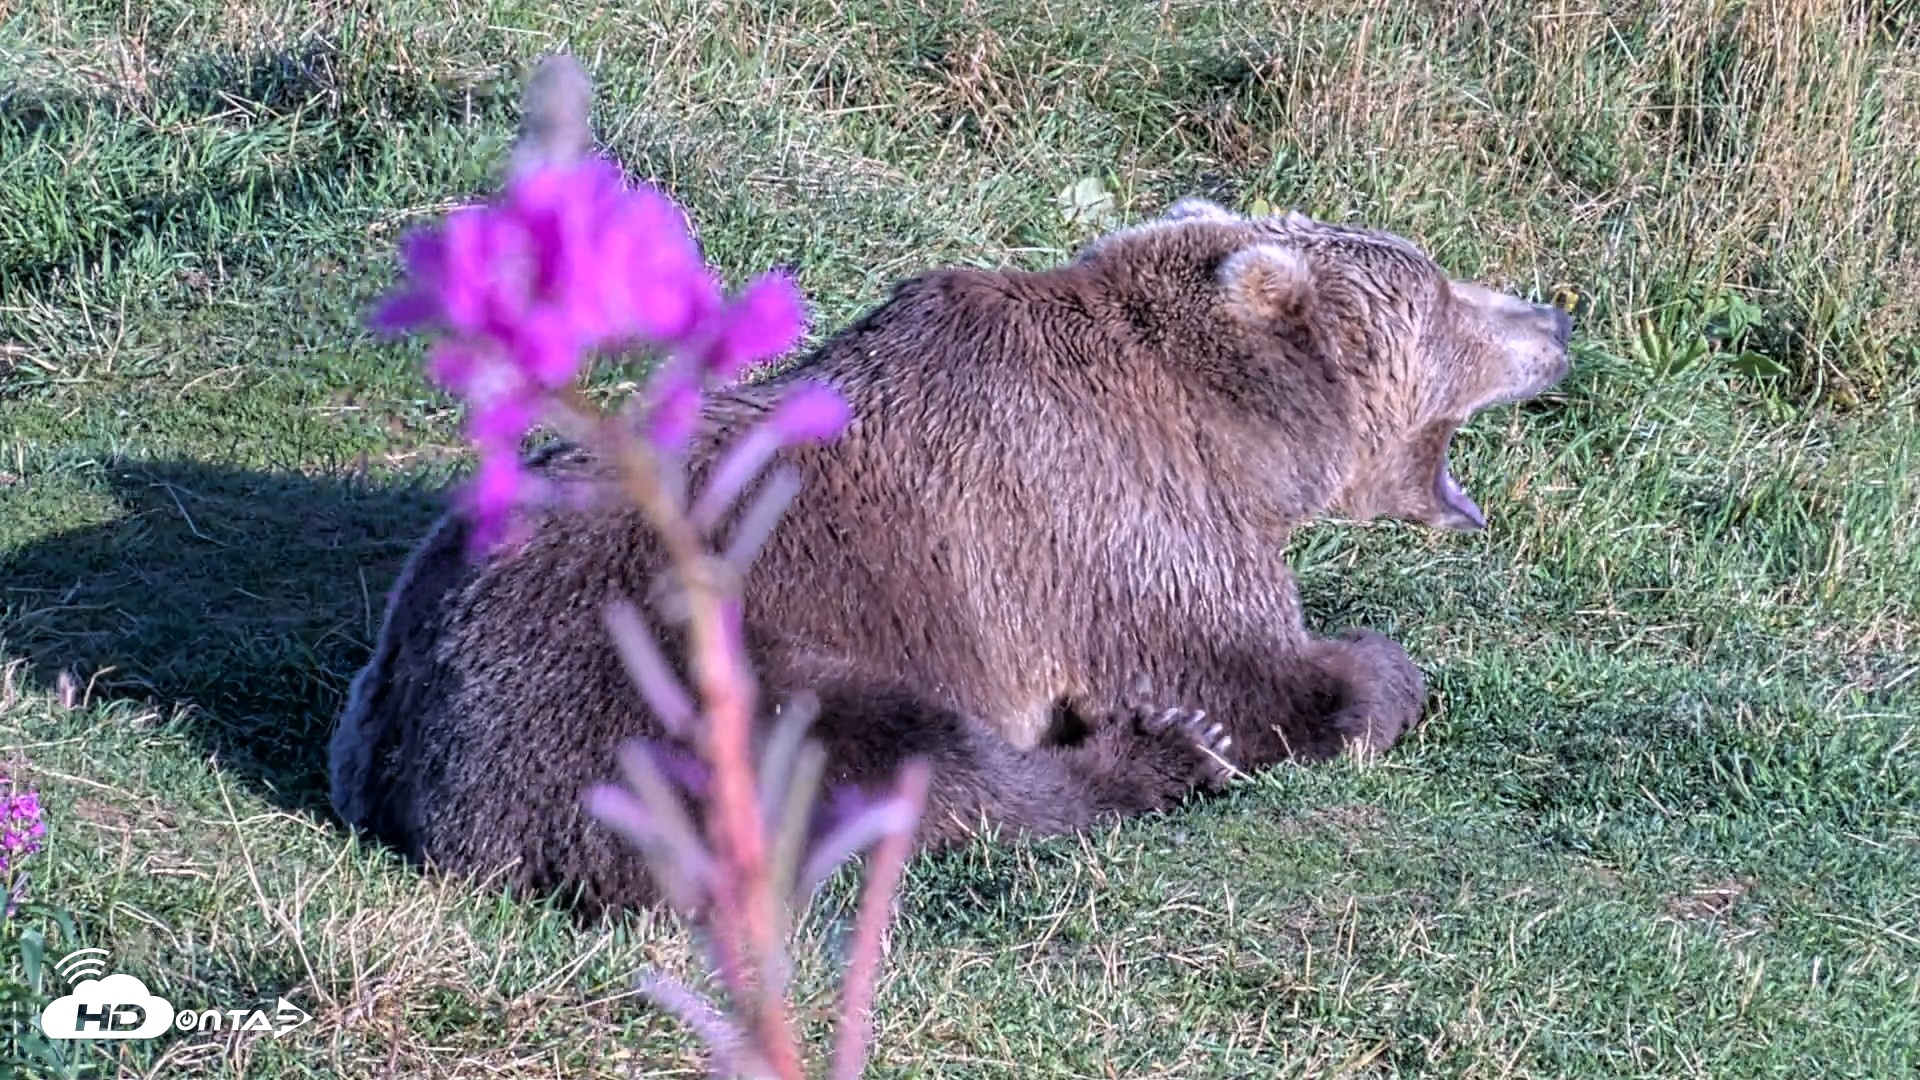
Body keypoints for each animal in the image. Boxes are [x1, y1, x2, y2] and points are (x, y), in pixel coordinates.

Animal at [326, 190, 1573, 917]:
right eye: (1443, 290)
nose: (1554, 321)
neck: (1238, 431)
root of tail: (431, 806)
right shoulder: (1119, 510)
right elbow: (1239, 669)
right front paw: (1360, 677)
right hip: (651, 680)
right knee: (889, 755)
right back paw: (1162, 758)